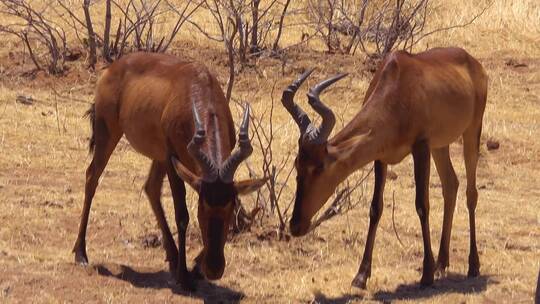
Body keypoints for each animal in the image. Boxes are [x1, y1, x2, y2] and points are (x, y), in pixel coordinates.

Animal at [71, 52, 266, 290]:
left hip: (159, 156)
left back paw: (173, 258)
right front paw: (184, 277)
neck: (198, 86)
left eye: (229, 210)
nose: (214, 269)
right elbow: (181, 215)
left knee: (151, 187)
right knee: (92, 177)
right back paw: (81, 254)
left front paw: (194, 268)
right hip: (109, 133)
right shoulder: (175, 160)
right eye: (202, 210)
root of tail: (112, 68)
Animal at [282, 47, 490, 288]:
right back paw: (441, 264)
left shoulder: (421, 146)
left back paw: (472, 266)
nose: (295, 225)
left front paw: (426, 275)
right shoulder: (380, 157)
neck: (397, 83)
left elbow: (422, 205)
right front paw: (361, 276)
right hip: (440, 145)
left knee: (471, 193)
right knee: (450, 185)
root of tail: (473, 61)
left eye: (319, 167)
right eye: (297, 163)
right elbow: (375, 208)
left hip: (472, 130)